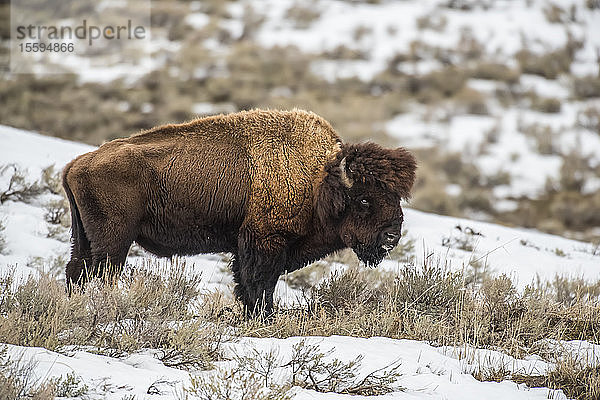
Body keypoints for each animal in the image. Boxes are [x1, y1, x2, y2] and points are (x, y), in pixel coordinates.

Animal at [62, 109, 418, 316]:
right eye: (364, 200)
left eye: (397, 197)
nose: (391, 236)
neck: (318, 178)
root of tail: (78, 163)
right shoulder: (265, 242)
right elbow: (260, 284)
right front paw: (264, 316)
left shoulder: (245, 247)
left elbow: (247, 285)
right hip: (114, 242)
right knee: (101, 274)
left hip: (84, 239)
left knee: (76, 272)